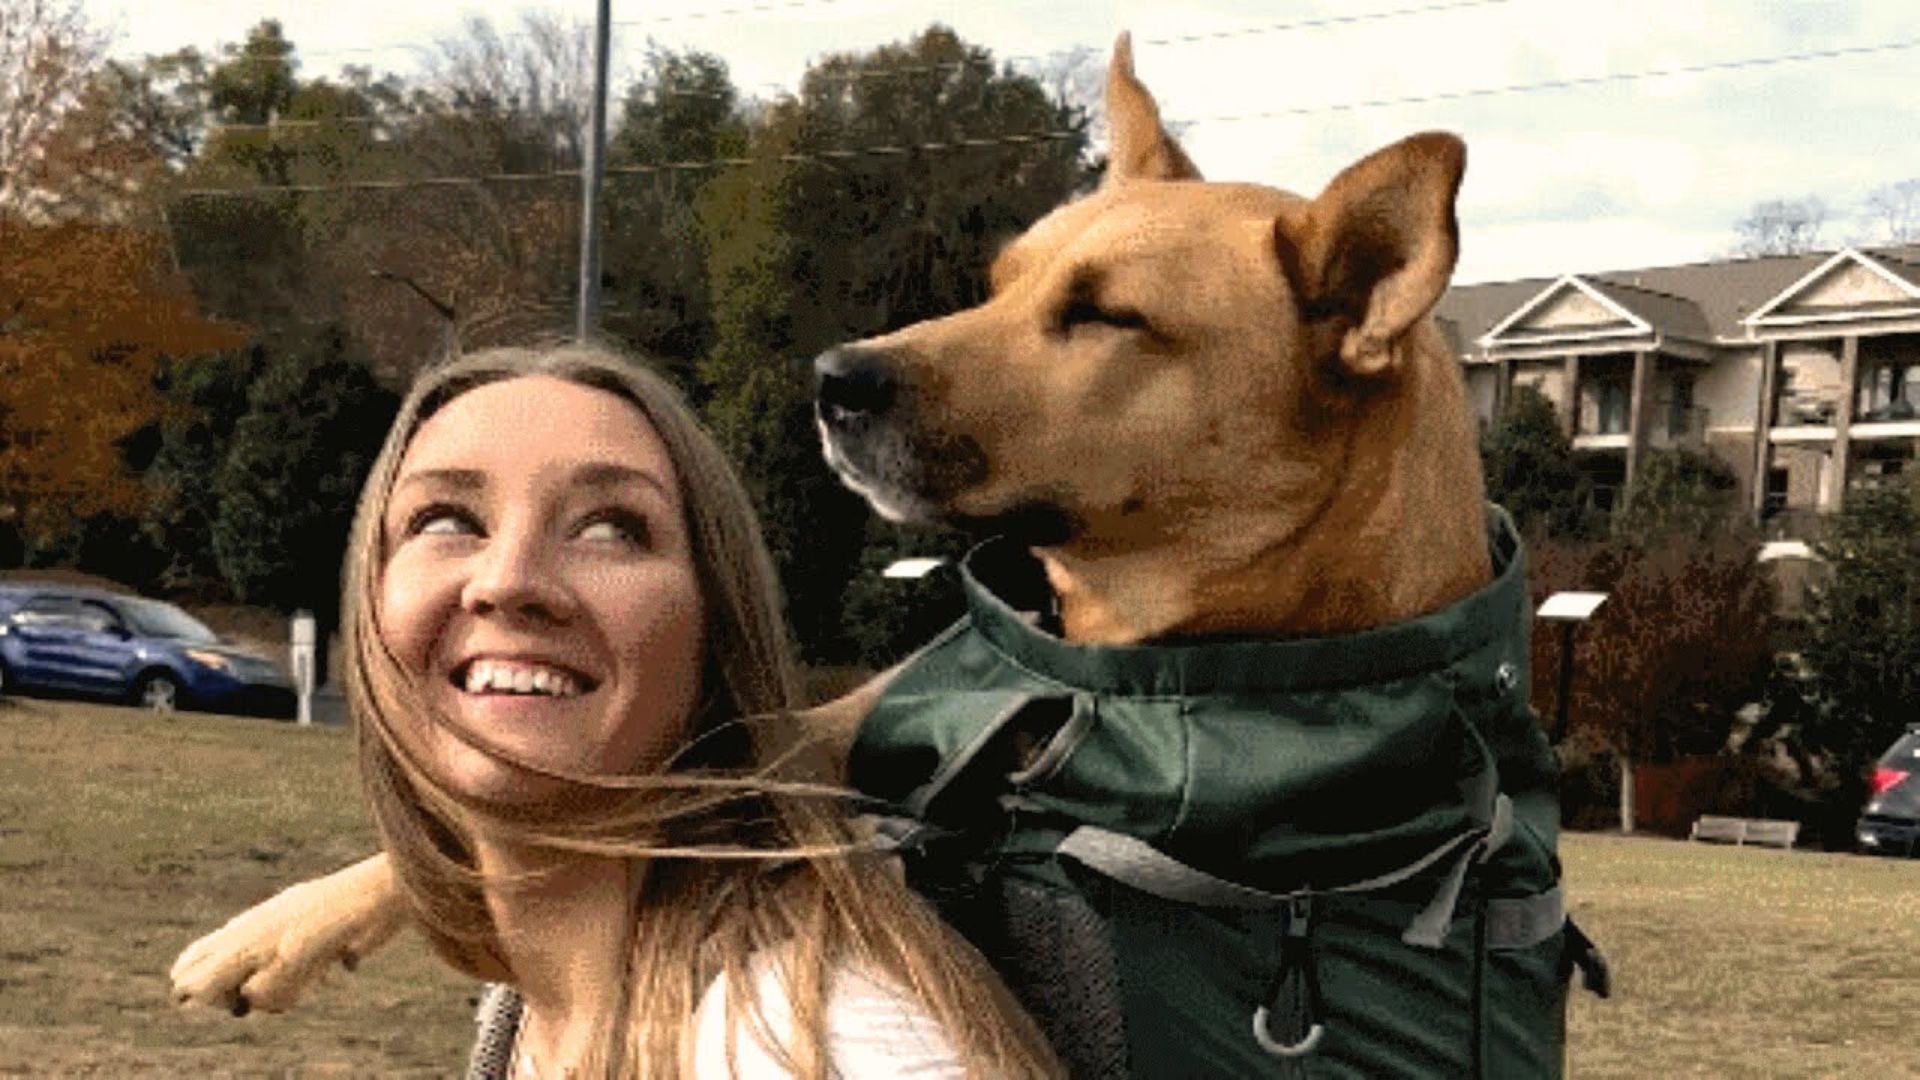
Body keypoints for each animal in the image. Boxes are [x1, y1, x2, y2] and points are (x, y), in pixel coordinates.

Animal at [168, 27, 1482, 1014]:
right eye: (1001, 283)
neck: (1095, 667)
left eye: (1108, 316)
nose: (831, 380)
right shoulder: (838, 727)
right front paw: (283, 925)